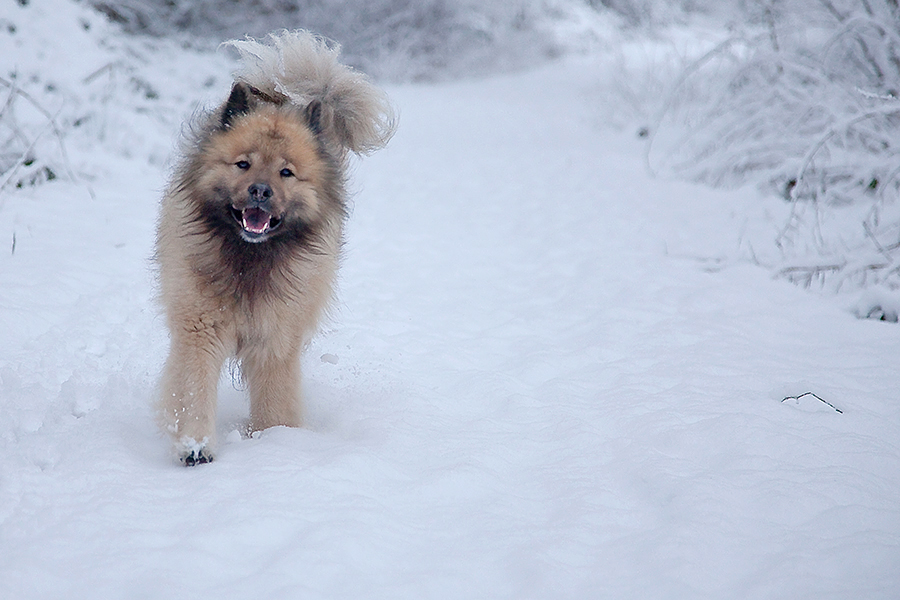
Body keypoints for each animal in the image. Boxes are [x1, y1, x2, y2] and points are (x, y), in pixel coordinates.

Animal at [156, 30, 396, 466]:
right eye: (243, 164)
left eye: (286, 172)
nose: (260, 191)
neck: (249, 258)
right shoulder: (199, 327)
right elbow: (193, 387)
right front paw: (195, 446)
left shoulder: (276, 338)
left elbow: (275, 401)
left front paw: (275, 442)